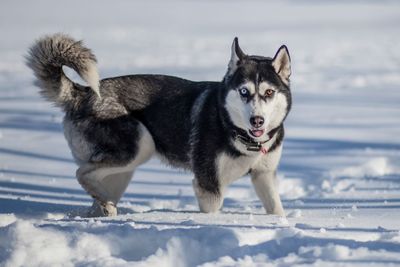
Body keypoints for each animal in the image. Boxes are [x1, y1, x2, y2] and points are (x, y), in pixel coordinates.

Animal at [26, 34, 292, 218]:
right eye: (244, 91)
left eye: (269, 92)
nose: (257, 120)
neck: (236, 131)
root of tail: (82, 94)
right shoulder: (208, 185)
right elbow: (212, 211)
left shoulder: (263, 175)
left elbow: (276, 209)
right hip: (139, 145)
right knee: (81, 173)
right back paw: (105, 205)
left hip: (122, 172)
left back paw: (103, 208)